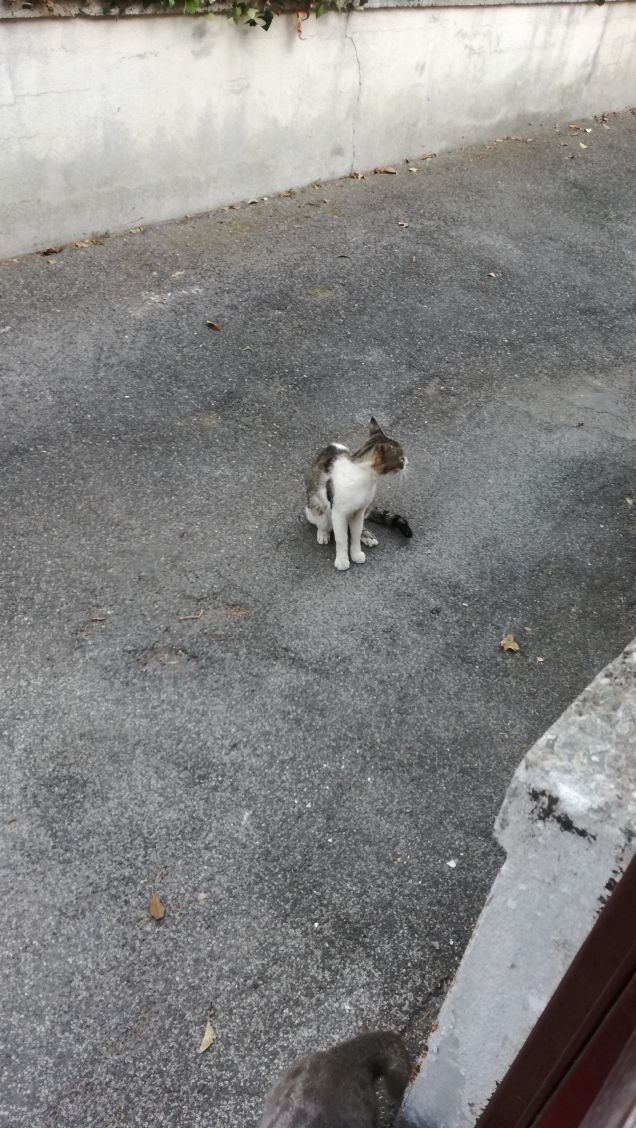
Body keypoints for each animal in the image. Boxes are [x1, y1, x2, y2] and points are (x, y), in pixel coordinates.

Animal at [304, 417, 412, 573]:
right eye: (401, 458)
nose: (407, 461)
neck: (365, 477)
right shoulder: (338, 513)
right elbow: (342, 538)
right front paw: (342, 560)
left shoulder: (359, 511)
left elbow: (355, 533)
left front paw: (356, 553)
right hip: (315, 505)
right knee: (321, 521)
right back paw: (322, 533)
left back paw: (366, 535)